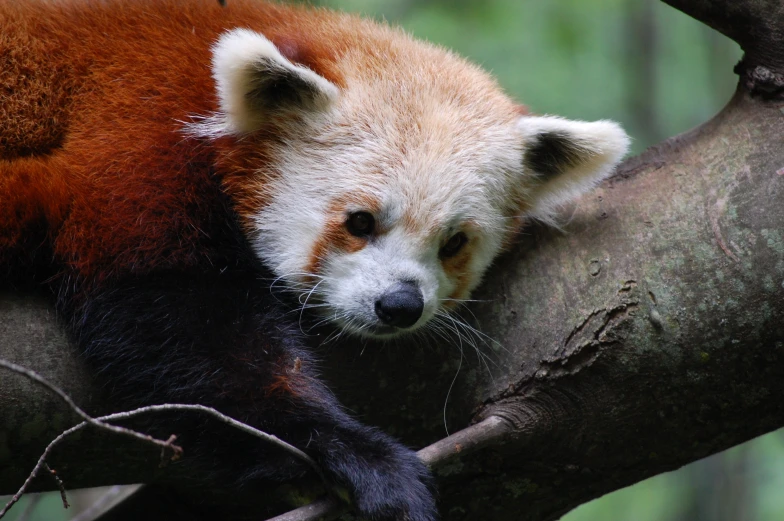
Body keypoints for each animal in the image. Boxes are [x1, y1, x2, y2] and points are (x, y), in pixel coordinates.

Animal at [0, 0, 624, 516]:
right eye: (360, 223)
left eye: (453, 243)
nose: (400, 305)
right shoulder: (137, 135)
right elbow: (177, 325)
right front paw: (352, 454)